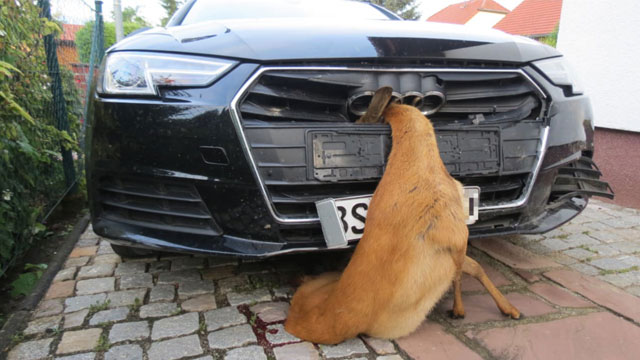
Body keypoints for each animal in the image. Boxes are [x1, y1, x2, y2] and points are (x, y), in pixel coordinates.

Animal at [284, 86, 520, 344]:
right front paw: (460, 311)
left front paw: (508, 309)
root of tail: (290, 321)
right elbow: (465, 273)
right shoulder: (457, 234)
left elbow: (472, 268)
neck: (417, 161)